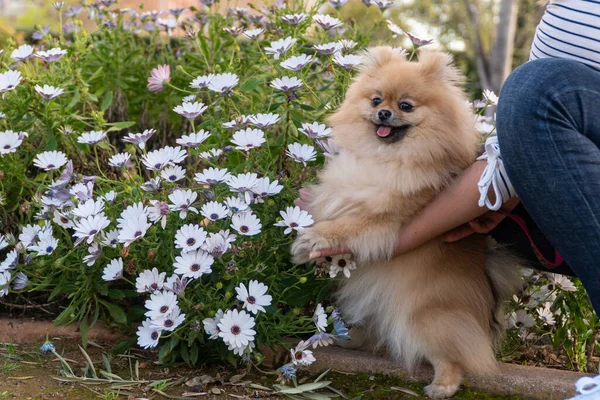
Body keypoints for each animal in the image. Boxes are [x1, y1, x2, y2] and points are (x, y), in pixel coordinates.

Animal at [292, 48, 516, 398]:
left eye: (406, 106)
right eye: (375, 100)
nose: (384, 113)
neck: (387, 158)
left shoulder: (383, 218)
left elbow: (346, 226)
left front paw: (311, 239)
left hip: (425, 319)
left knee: (454, 356)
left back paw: (442, 385)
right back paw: (348, 339)